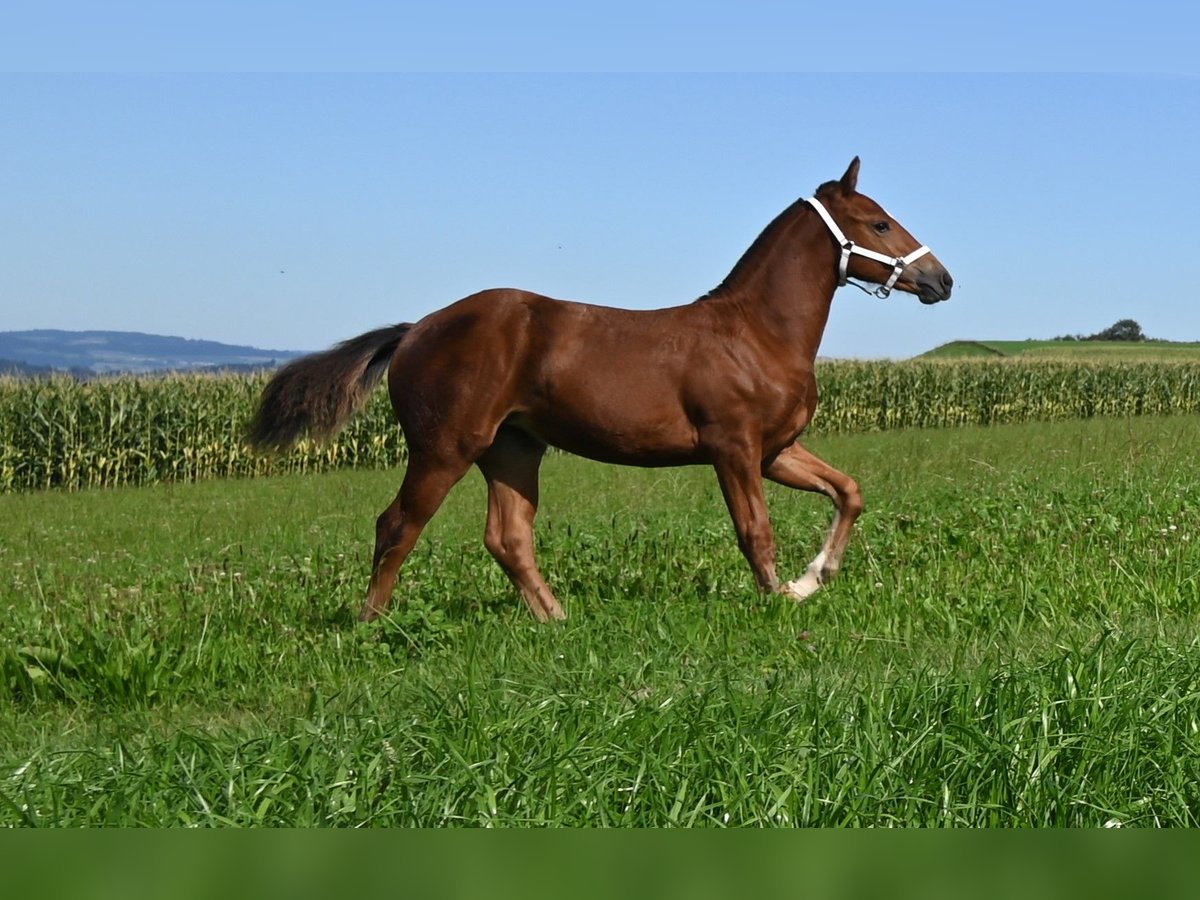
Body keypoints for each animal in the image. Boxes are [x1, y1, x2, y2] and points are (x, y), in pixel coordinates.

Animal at [248, 158, 950, 624]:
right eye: (879, 224)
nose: (941, 280)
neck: (755, 333)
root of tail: (415, 329)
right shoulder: (733, 448)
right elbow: (756, 530)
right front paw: (780, 597)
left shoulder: (776, 450)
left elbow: (848, 492)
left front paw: (814, 579)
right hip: (444, 449)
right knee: (396, 524)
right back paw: (372, 625)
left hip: (511, 450)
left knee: (507, 537)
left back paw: (556, 619)